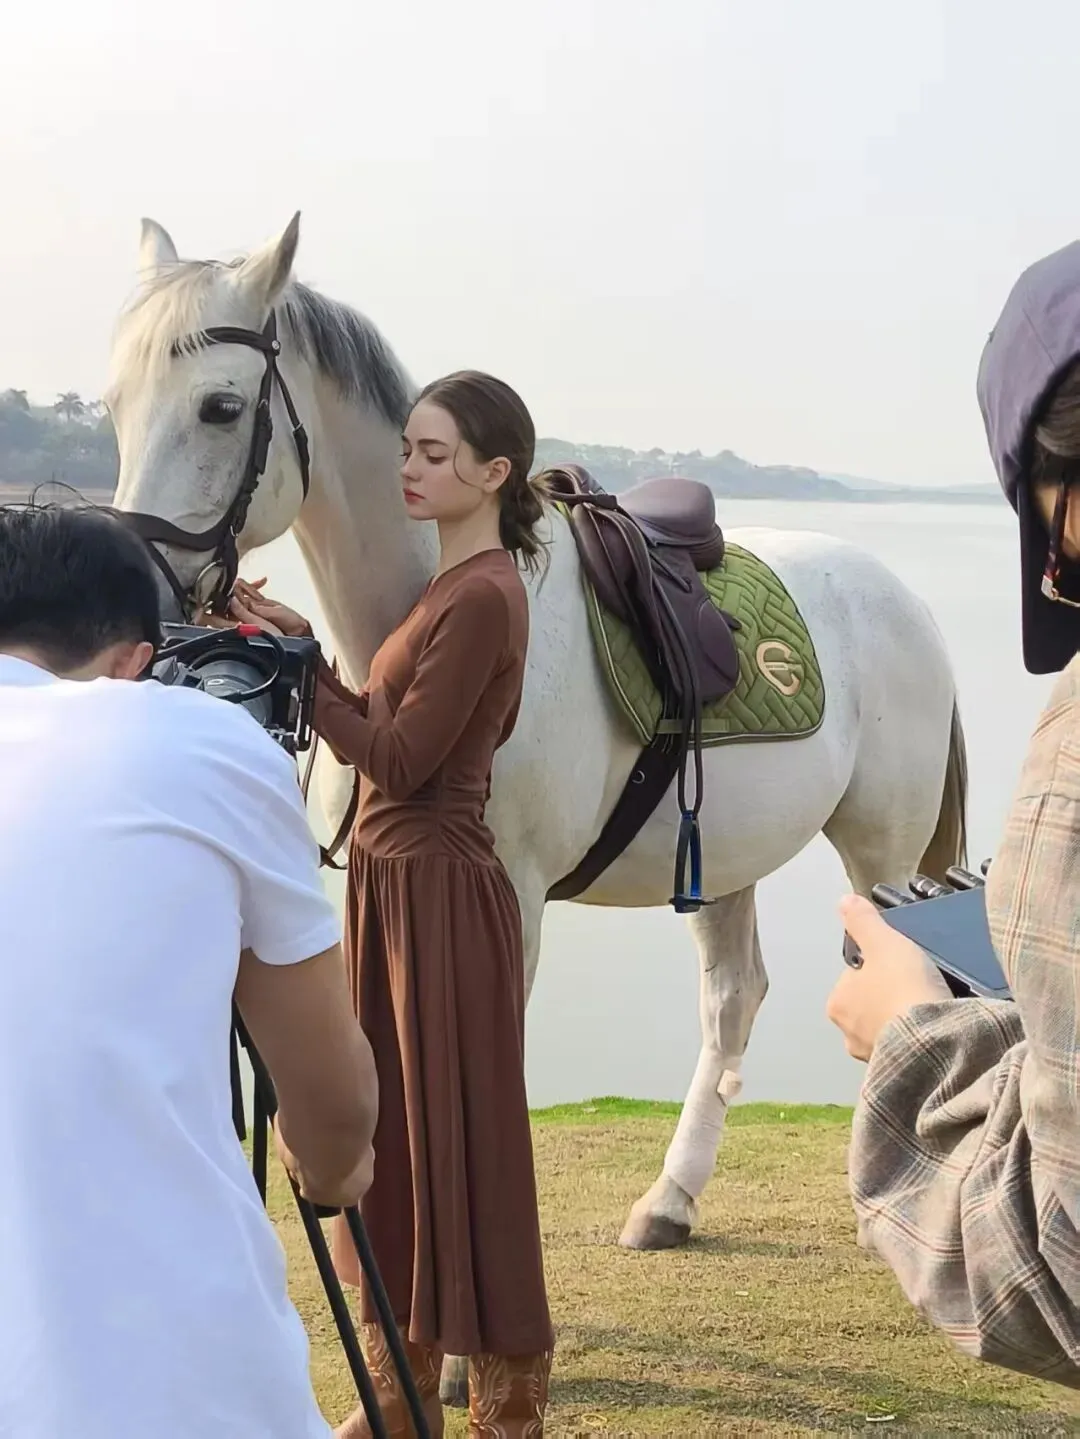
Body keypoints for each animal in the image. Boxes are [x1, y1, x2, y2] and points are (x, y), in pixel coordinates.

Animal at [105, 213, 968, 1406]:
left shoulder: (505, 899)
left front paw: (466, 1351)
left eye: (221, 408)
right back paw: (670, 1201)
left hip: (881, 854)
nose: (138, 581)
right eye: (113, 404)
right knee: (732, 999)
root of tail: (903, 594)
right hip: (728, 858)